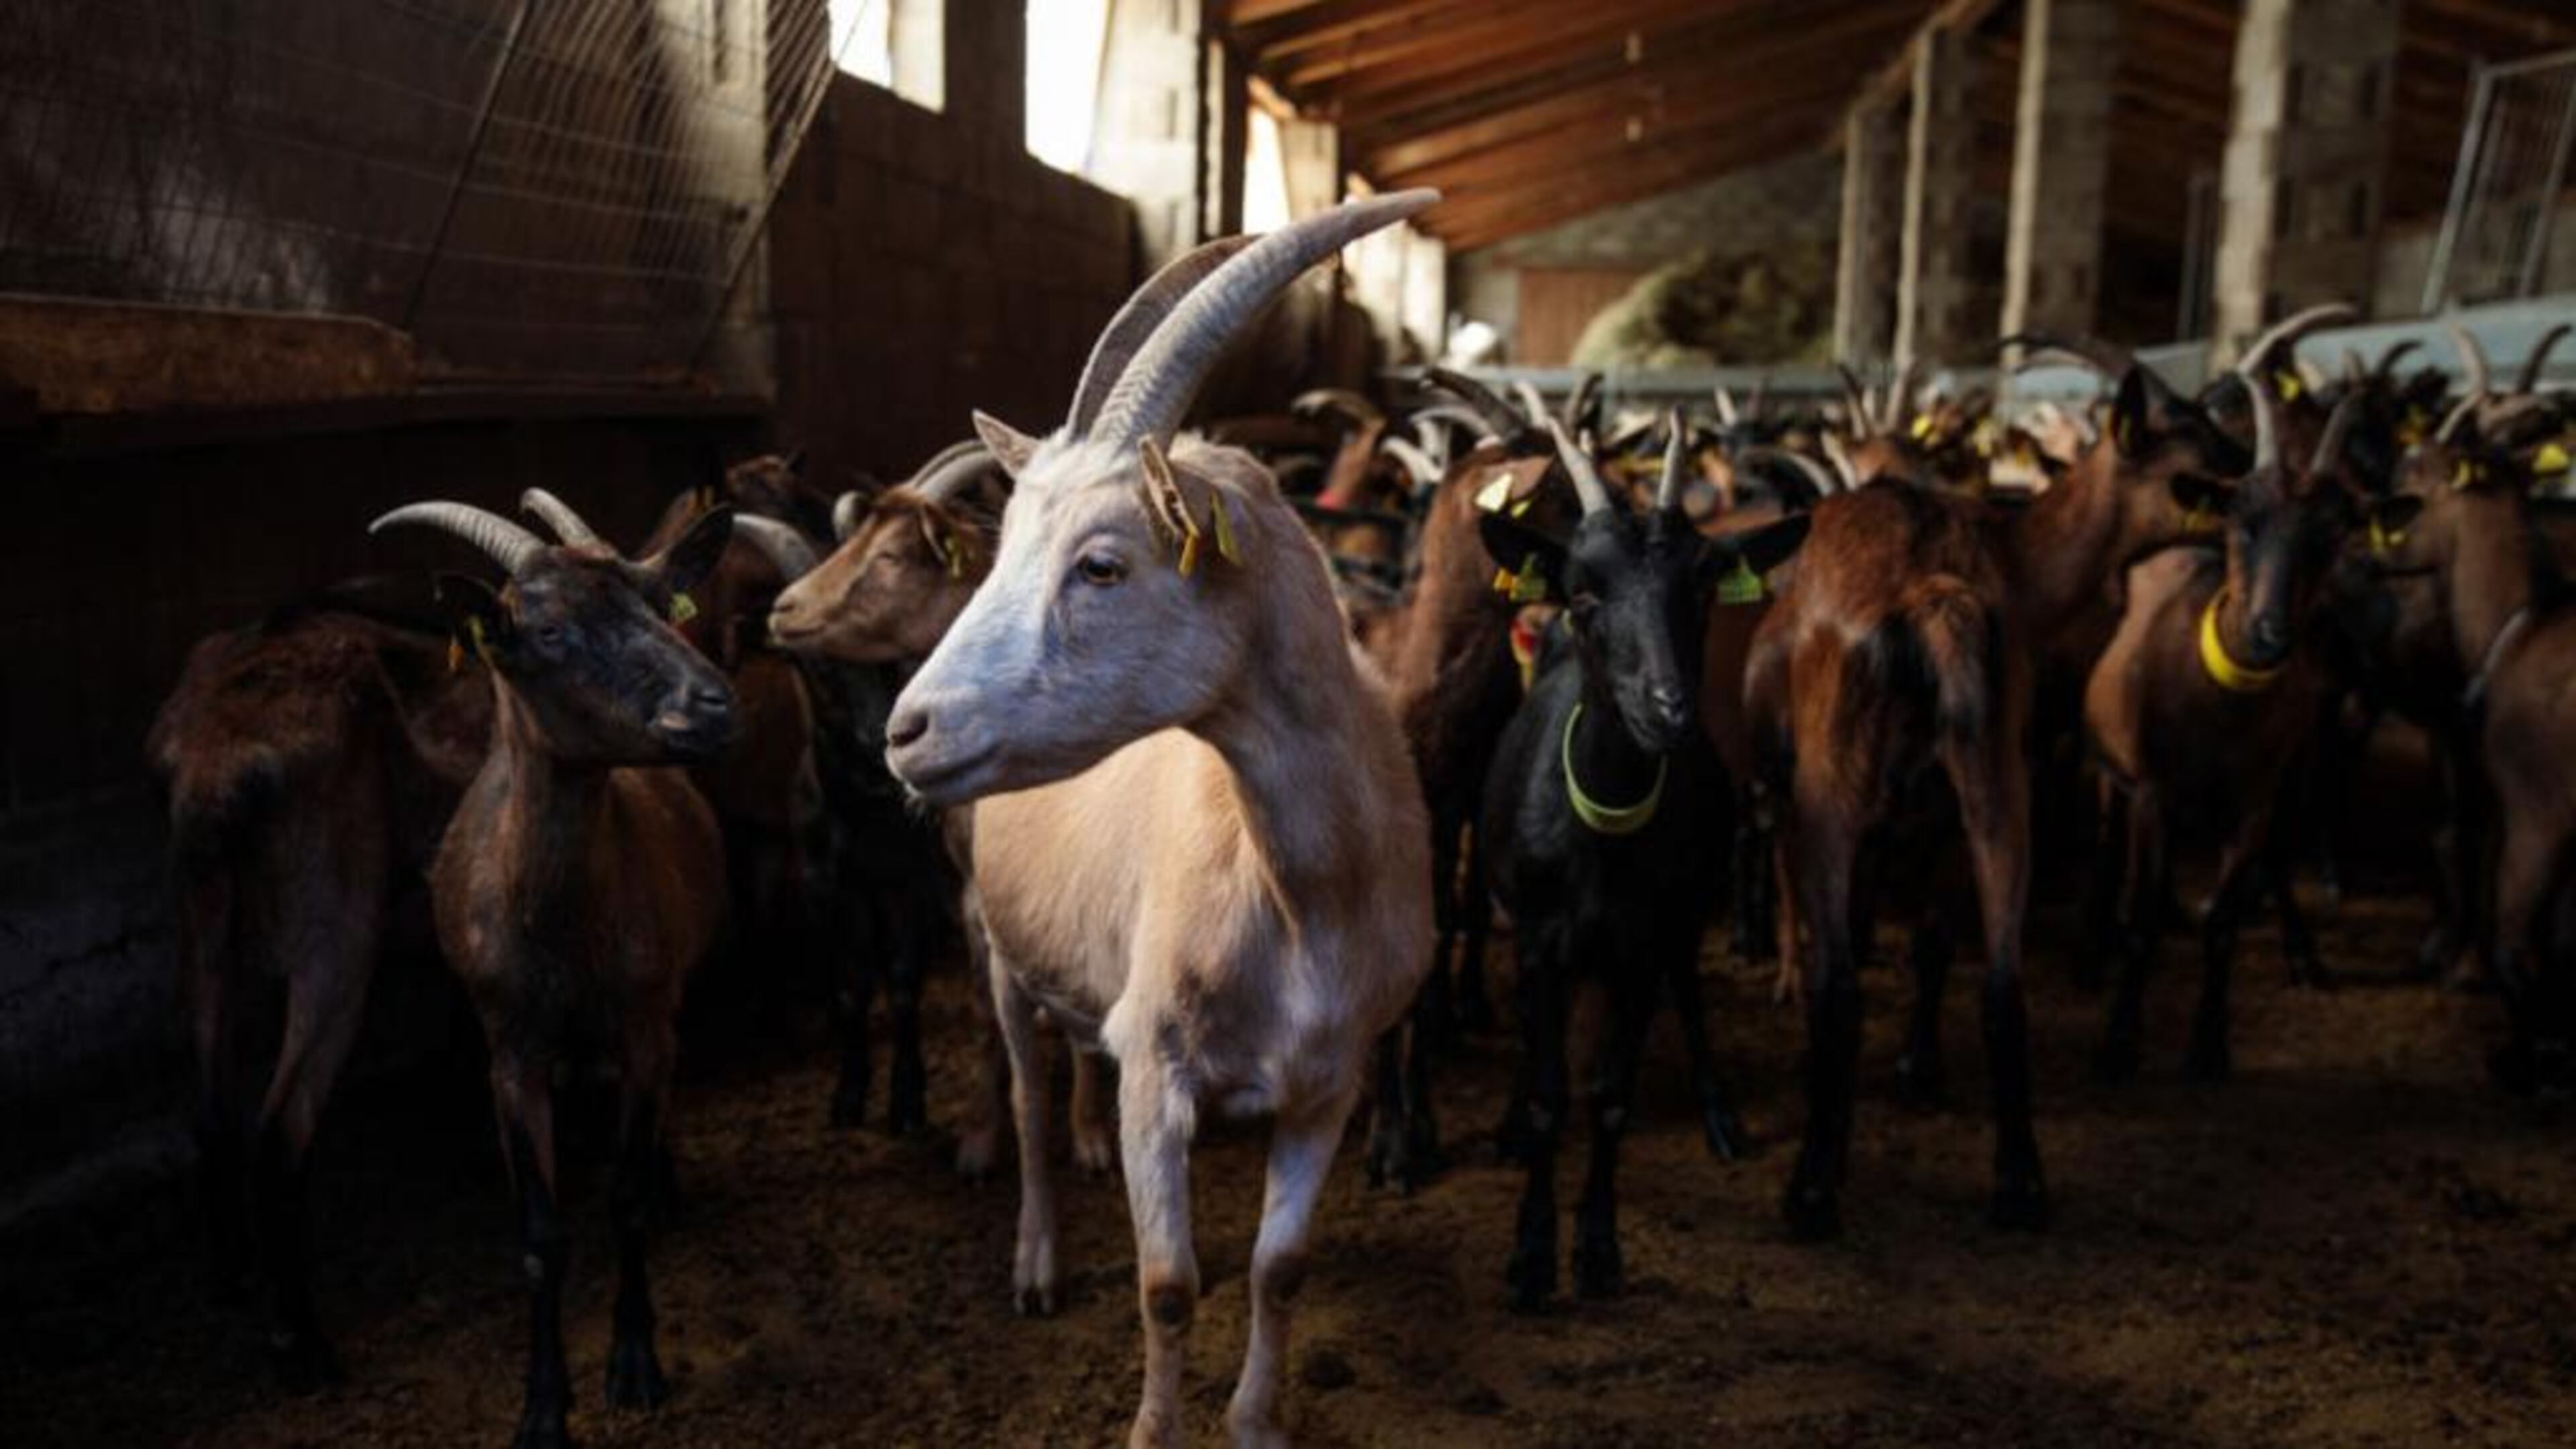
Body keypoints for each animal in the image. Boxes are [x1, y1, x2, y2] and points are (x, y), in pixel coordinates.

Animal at [370, 493, 735, 1449]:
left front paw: (634, 1367)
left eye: (662, 601)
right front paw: (541, 1407)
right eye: (547, 632)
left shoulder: (646, 1030)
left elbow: (625, 1198)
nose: (713, 704)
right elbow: (540, 1235)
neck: (563, 938)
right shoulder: (509, 1057)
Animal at [881, 193, 1437, 1449]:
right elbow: (1168, 1285)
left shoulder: (1330, 1079)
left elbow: (1281, 1270)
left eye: (1101, 564)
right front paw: (1151, 1427)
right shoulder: (1160, 1072)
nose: (908, 730)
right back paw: (1037, 1253)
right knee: (1027, 1094)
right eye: (1001, 548)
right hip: (997, 950)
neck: (1297, 889)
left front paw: (1258, 1423)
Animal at [1482, 414, 1807, 1307]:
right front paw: (1530, 1255)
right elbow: (1554, 1097)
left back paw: (1720, 1114)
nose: (1668, 710)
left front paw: (1597, 1248)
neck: (1604, 835)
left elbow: (1612, 1097)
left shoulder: (1642, 943)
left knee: (1686, 993)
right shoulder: (1540, 941)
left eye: (1700, 588)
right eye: (1583, 594)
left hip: (1684, 919)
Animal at [1749, 344, 2255, 1238]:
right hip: (1993, 783)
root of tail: (1928, 599)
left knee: (1841, 981)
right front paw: (1920, 1069)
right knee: (2001, 978)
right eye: (2187, 429)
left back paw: (1813, 1191)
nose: (2247, 462)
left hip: (1834, 790)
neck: (2014, 553)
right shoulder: (1950, 812)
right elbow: (1935, 941)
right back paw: (2020, 1185)